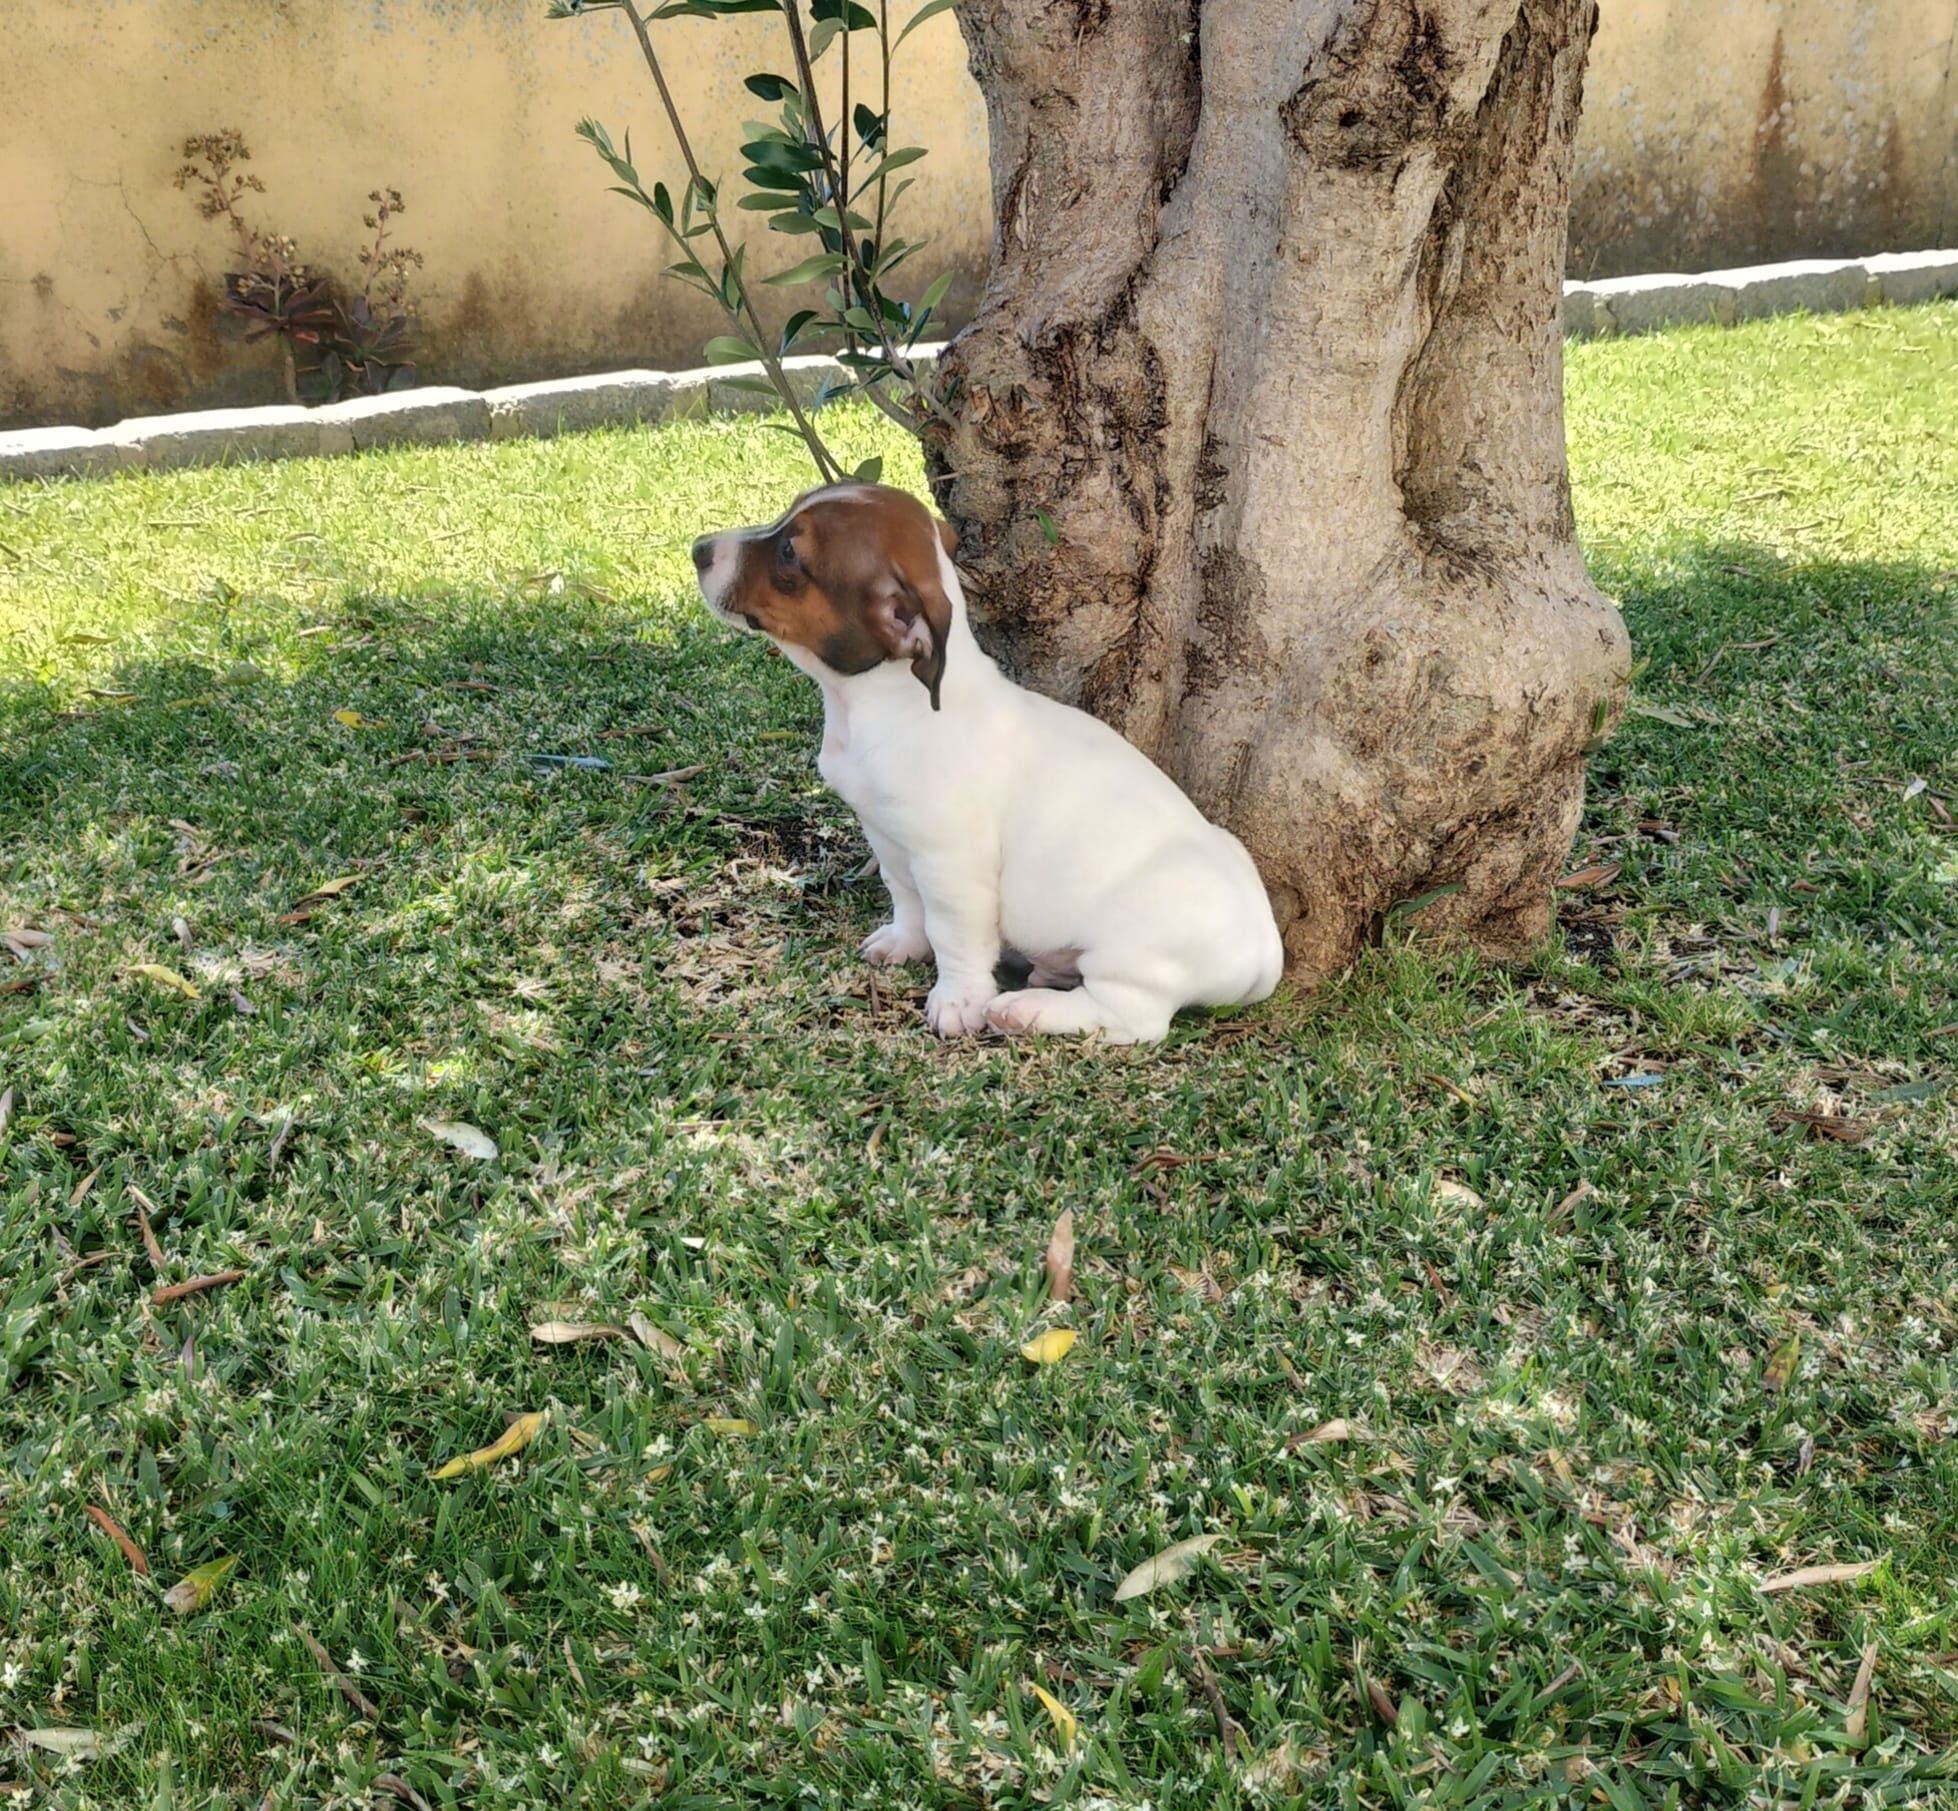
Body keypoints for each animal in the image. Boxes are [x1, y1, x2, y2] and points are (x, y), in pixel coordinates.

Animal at [689, 483, 1284, 1049]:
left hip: (1129, 956)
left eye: (790, 552)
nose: (699, 550)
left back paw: (1027, 1010)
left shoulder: (951, 869)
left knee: (1131, 1020)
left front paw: (958, 1001)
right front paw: (904, 942)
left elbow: (953, 936)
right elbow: (905, 896)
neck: (884, 704)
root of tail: (1264, 957)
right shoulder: (888, 836)